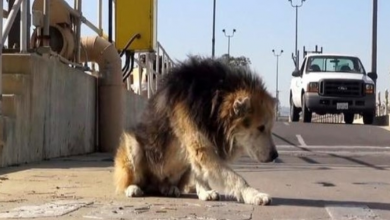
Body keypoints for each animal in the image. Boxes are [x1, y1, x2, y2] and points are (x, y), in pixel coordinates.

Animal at [112, 55, 278, 206]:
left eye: (270, 128)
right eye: (261, 128)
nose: (275, 156)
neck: (214, 99)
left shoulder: (198, 149)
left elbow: (200, 172)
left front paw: (205, 191)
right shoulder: (201, 147)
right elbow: (235, 178)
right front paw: (254, 194)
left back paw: (168, 188)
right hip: (133, 145)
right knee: (129, 179)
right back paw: (132, 188)